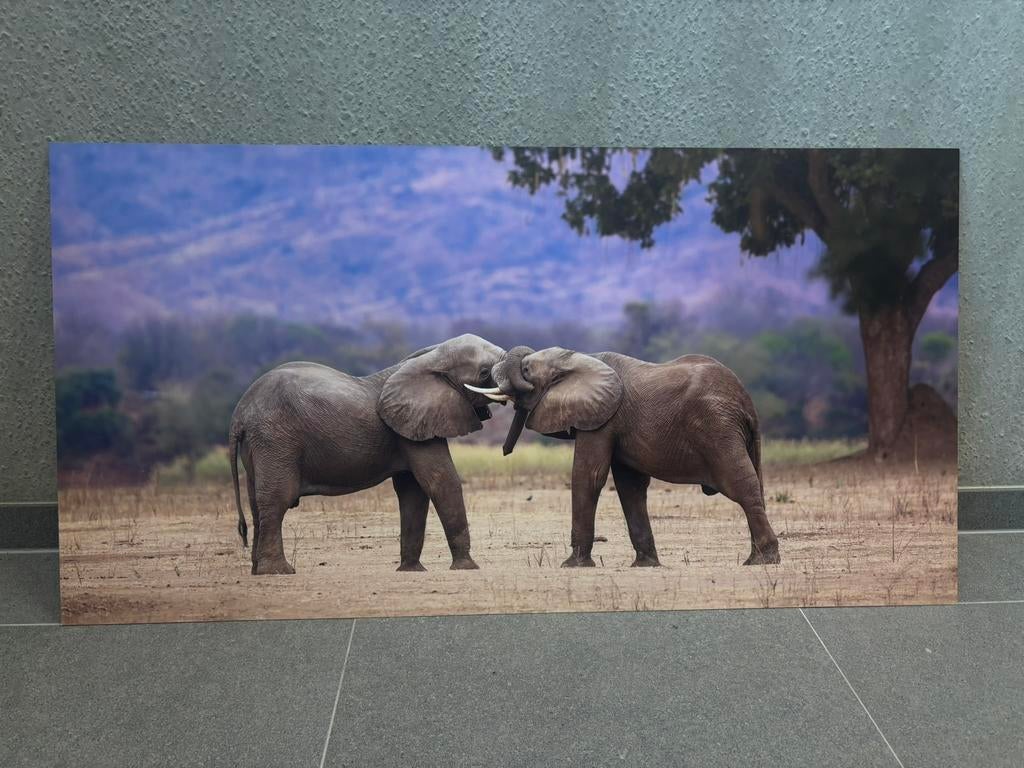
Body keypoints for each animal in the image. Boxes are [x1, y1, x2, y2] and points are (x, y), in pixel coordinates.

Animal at [228, 334, 507, 575]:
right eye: (484, 372)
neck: (430, 357)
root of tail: (239, 413)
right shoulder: (413, 428)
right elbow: (441, 482)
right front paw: (467, 567)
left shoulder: (409, 428)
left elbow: (413, 492)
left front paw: (411, 571)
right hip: (275, 438)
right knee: (277, 499)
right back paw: (278, 572)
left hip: (260, 445)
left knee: (256, 503)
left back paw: (257, 571)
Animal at [477, 346, 781, 568]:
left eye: (526, 370)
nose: (505, 450)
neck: (578, 358)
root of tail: (746, 401)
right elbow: (630, 486)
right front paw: (645, 566)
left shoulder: (601, 420)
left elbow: (589, 476)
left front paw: (572, 565)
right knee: (756, 485)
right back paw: (756, 557)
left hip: (717, 428)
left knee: (742, 486)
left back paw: (762, 561)